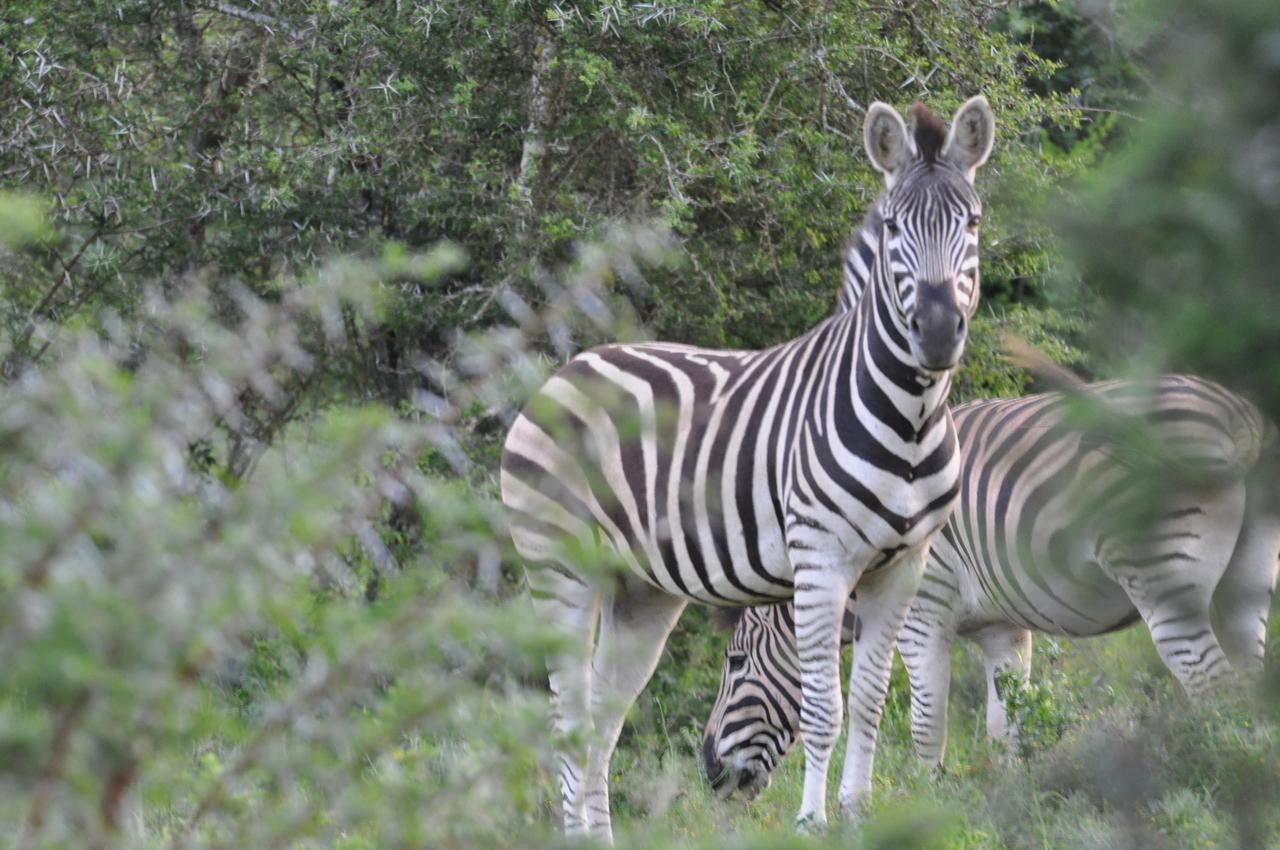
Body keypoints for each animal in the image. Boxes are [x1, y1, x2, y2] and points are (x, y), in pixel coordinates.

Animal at [501, 94, 998, 834]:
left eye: (971, 222)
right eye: (892, 225)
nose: (937, 331)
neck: (910, 419)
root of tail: (566, 369)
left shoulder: (903, 568)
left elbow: (872, 702)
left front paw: (856, 816)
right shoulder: (821, 562)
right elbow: (824, 709)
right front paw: (813, 824)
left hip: (640, 590)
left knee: (603, 720)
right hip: (559, 567)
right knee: (569, 718)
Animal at [701, 378, 1280, 798]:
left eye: (735, 663)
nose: (708, 771)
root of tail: (1238, 418)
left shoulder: (923, 611)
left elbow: (927, 724)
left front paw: (926, 805)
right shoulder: (1003, 629)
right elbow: (1006, 729)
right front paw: (1008, 802)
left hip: (1164, 579)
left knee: (1214, 687)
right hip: (1244, 585)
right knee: (1250, 683)